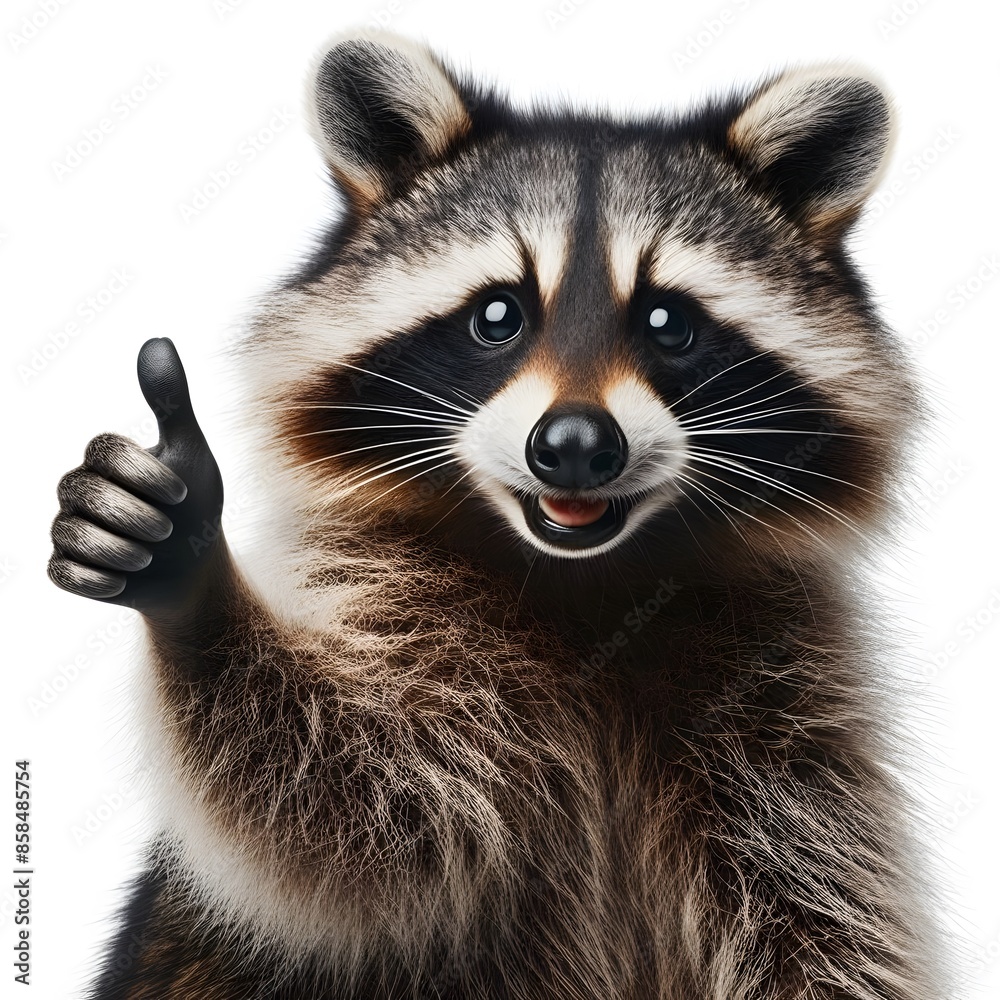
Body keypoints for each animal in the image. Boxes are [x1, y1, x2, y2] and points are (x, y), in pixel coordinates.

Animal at [47, 29, 948, 1000]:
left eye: (668, 322)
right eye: (497, 315)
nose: (577, 446)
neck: (590, 583)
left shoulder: (795, 723)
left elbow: (826, 917)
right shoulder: (406, 617)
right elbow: (352, 808)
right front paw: (194, 588)